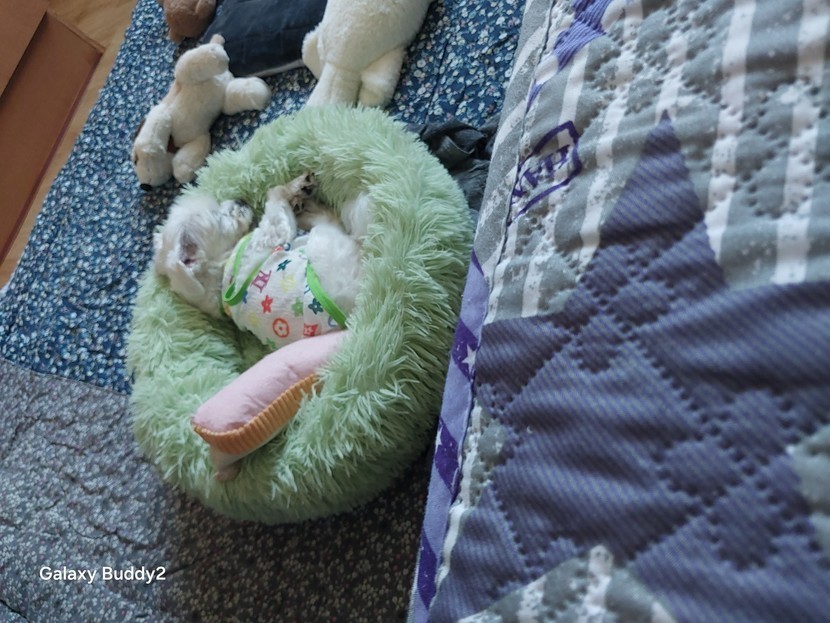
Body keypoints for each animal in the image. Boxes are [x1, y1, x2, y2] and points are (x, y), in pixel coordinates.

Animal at [153, 172, 369, 347]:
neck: (216, 273)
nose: (240, 201)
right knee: (332, 222)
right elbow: (276, 201)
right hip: (324, 241)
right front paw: (291, 187)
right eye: (218, 217)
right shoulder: (268, 237)